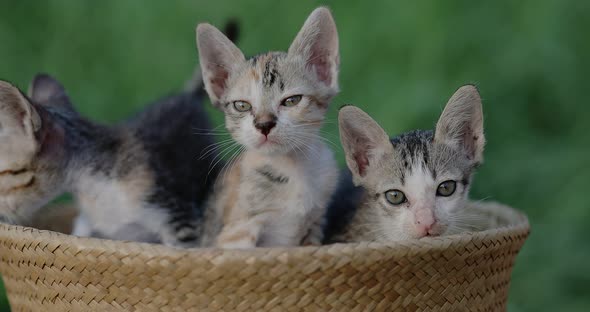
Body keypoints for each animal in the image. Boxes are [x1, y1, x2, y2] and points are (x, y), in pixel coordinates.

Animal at [197, 6, 340, 247]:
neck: (293, 169)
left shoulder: (314, 225)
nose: (264, 124)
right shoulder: (238, 232)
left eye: (291, 100)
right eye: (242, 105)